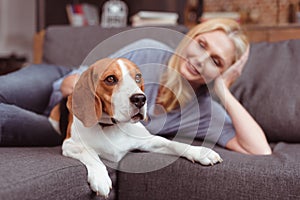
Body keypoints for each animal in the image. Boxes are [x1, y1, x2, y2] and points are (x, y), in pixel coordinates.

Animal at [49, 57, 223, 198]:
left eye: (137, 77)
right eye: (110, 79)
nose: (140, 99)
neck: (112, 127)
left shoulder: (150, 141)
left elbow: (174, 144)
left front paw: (200, 152)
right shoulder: (70, 145)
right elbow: (91, 154)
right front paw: (100, 178)